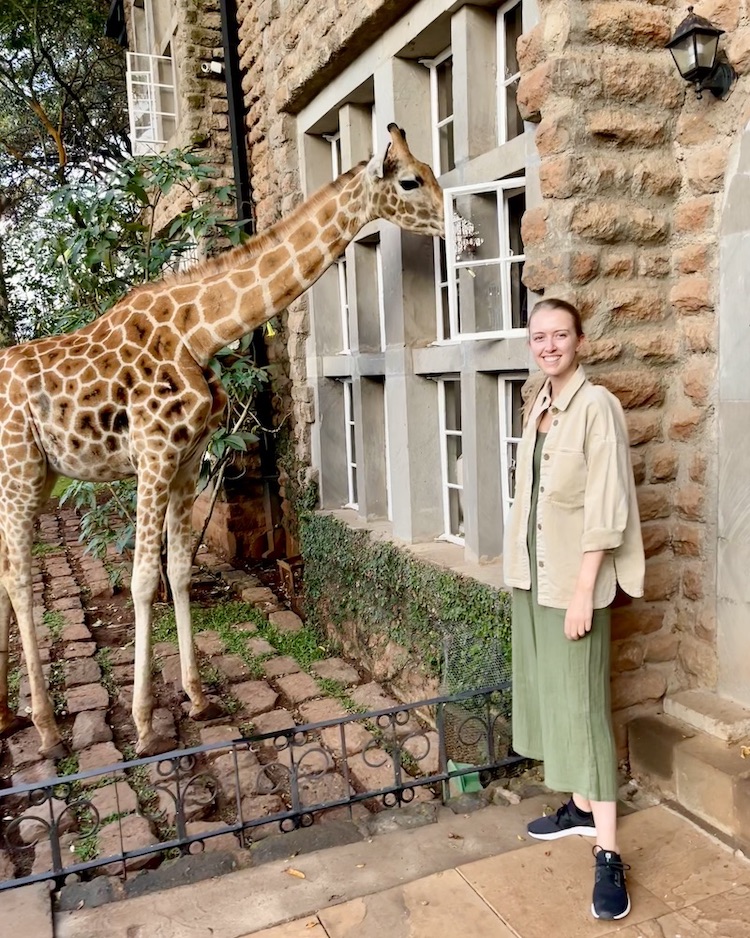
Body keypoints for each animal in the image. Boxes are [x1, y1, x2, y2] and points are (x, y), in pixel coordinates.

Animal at [0, 124, 446, 759]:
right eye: (410, 180)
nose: (456, 220)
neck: (202, 329)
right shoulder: (152, 455)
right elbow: (144, 580)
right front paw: (145, 726)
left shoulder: (186, 460)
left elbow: (181, 569)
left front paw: (196, 697)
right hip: (18, 469)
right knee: (18, 575)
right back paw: (46, 729)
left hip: (36, 475)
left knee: (4, 573)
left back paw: (8, 717)